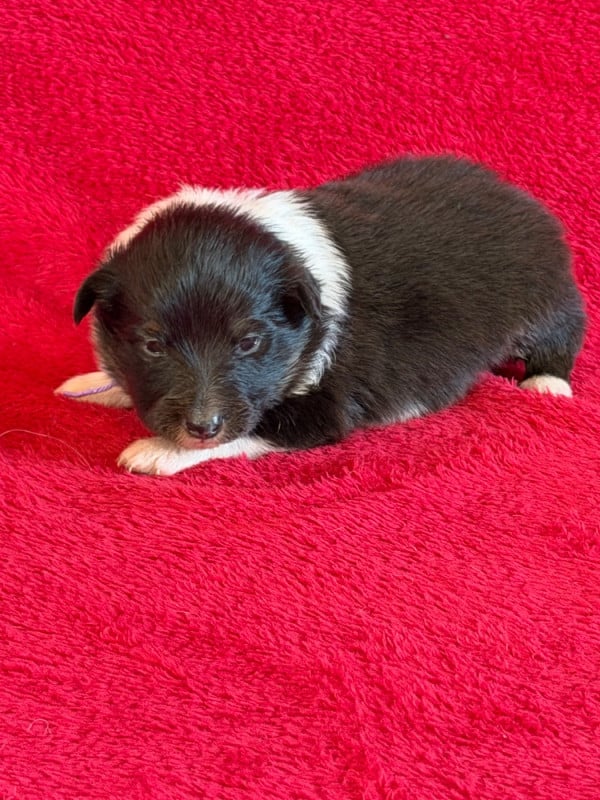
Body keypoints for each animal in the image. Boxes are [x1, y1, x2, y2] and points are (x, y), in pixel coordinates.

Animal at [56, 155, 586, 475]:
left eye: (248, 343)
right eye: (152, 346)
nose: (202, 426)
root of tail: (519, 196)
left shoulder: (322, 409)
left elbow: (255, 427)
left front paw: (159, 451)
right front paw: (95, 383)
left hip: (544, 297)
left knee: (564, 332)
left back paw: (547, 382)